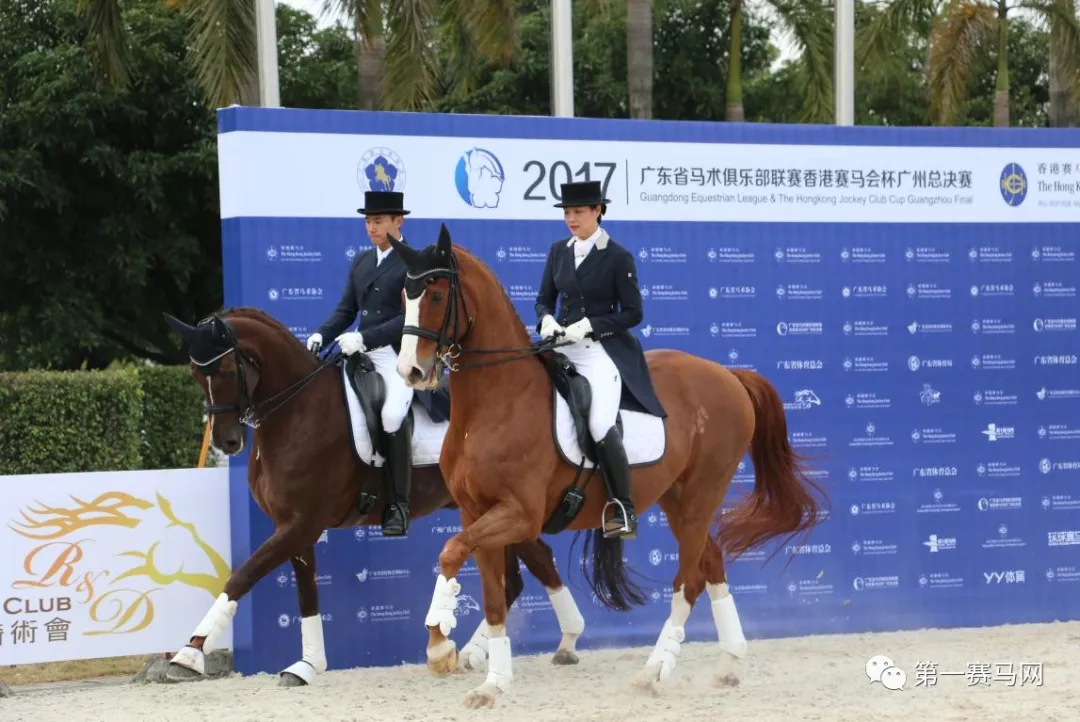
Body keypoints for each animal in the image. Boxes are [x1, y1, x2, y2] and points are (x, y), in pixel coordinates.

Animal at [158, 306, 587, 686]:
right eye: (195, 374)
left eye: (224, 371)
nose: (226, 442)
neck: (300, 410)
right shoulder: (295, 527)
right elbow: (307, 595)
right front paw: (307, 665)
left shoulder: (301, 524)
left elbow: (243, 576)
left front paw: (189, 654)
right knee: (518, 576)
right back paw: (484, 650)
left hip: (507, 509)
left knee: (532, 567)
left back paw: (555, 642)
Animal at [384, 227, 829, 707]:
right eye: (404, 295)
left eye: (435, 294)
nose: (410, 371)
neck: (495, 404)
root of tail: (728, 374)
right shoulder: (476, 513)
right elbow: (491, 594)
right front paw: (490, 682)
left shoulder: (520, 515)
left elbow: (451, 553)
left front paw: (440, 646)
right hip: (678, 500)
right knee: (712, 562)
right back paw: (729, 662)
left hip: (700, 495)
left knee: (689, 580)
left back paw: (652, 672)